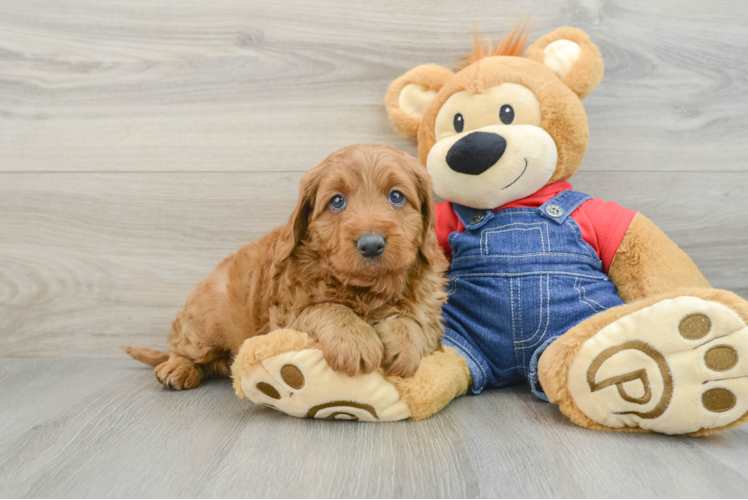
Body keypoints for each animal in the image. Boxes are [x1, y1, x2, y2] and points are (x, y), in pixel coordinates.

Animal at [123, 143, 448, 388]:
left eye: (396, 196)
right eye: (337, 201)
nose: (371, 244)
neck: (366, 289)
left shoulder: (431, 311)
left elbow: (416, 321)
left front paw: (404, 343)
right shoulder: (284, 315)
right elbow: (326, 308)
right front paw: (353, 340)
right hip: (204, 325)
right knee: (182, 349)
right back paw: (177, 369)